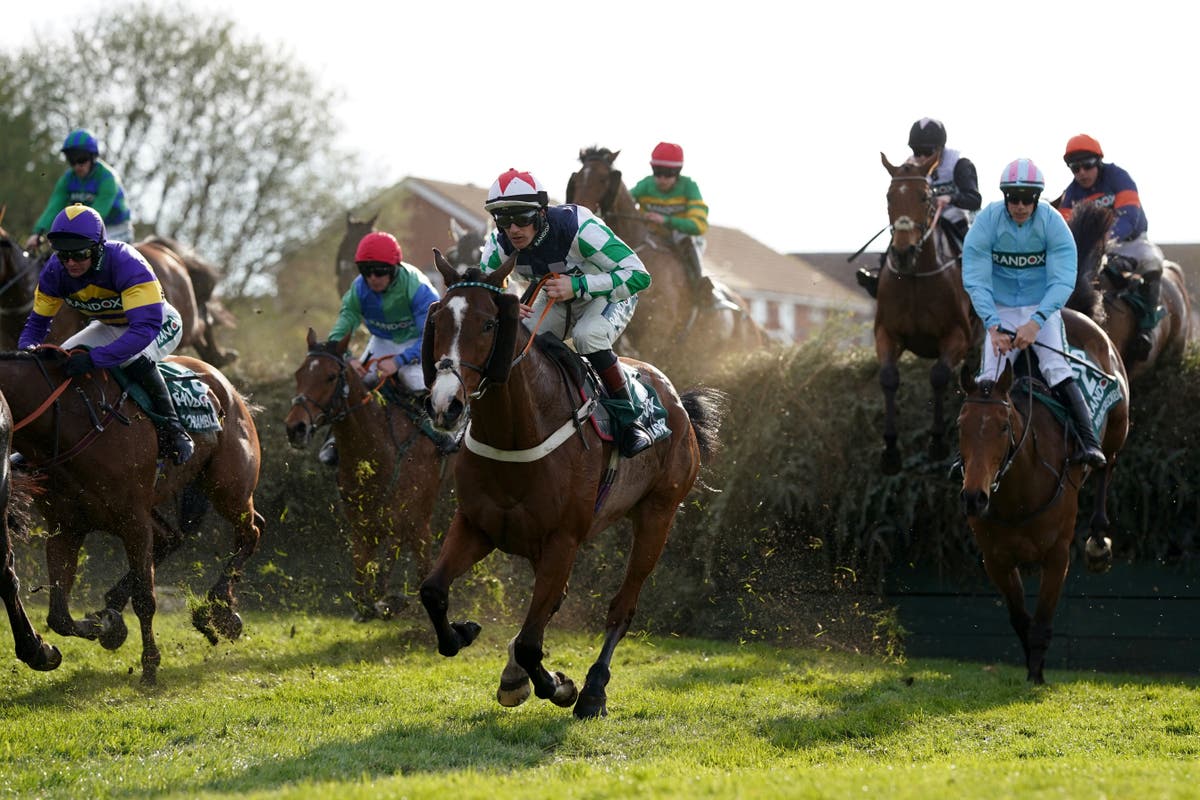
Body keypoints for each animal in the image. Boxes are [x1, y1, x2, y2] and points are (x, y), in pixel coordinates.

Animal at [0, 349, 265, 685]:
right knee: (172, 538)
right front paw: (105, 626)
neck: (69, 422)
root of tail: (228, 387)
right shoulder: (66, 528)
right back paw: (117, 603)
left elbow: (145, 599)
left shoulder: (133, 521)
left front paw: (149, 666)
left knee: (251, 532)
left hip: (228, 489)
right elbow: (58, 615)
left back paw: (216, 609)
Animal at [284, 328, 449, 621]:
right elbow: (363, 574)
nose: (296, 428)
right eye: (299, 373)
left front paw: (389, 602)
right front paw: (371, 604)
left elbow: (399, 563)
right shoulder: (361, 523)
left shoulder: (411, 519)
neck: (380, 448)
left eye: (330, 376)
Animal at [420, 250, 725, 719]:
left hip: (658, 515)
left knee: (622, 608)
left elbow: (532, 642)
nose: (445, 405)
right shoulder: (477, 525)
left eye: (489, 324)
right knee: (554, 601)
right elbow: (433, 592)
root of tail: (677, 401)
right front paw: (465, 633)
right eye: (437, 321)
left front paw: (559, 686)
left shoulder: (563, 539)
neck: (515, 432)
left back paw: (594, 689)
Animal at [874, 152, 978, 474]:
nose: (902, 253)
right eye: (889, 197)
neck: (916, 275)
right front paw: (890, 450)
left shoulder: (958, 336)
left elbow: (939, 375)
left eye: (923, 196)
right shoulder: (887, 333)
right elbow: (888, 377)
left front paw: (937, 442)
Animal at [958, 308, 1129, 684]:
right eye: (960, 425)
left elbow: (1042, 621)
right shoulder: (996, 559)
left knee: (1107, 465)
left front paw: (1036, 676)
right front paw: (1030, 668)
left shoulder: (1057, 555)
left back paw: (1098, 540)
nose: (975, 498)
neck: (1018, 493)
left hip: (1119, 424)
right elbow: (1021, 620)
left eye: (1003, 426)